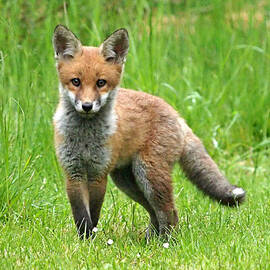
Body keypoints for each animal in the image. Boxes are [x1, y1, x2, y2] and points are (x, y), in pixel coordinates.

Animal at [51, 25, 246, 239]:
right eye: (76, 81)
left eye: (101, 83)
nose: (87, 106)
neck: (84, 138)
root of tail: (176, 114)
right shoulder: (73, 172)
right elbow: (80, 216)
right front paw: (84, 241)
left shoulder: (98, 174)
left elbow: (92, 215)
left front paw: (90, 240)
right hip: (128, 181)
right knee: (154, 212)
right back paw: (150, 240)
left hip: (149, 175)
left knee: (170, 211)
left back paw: (167, 242)